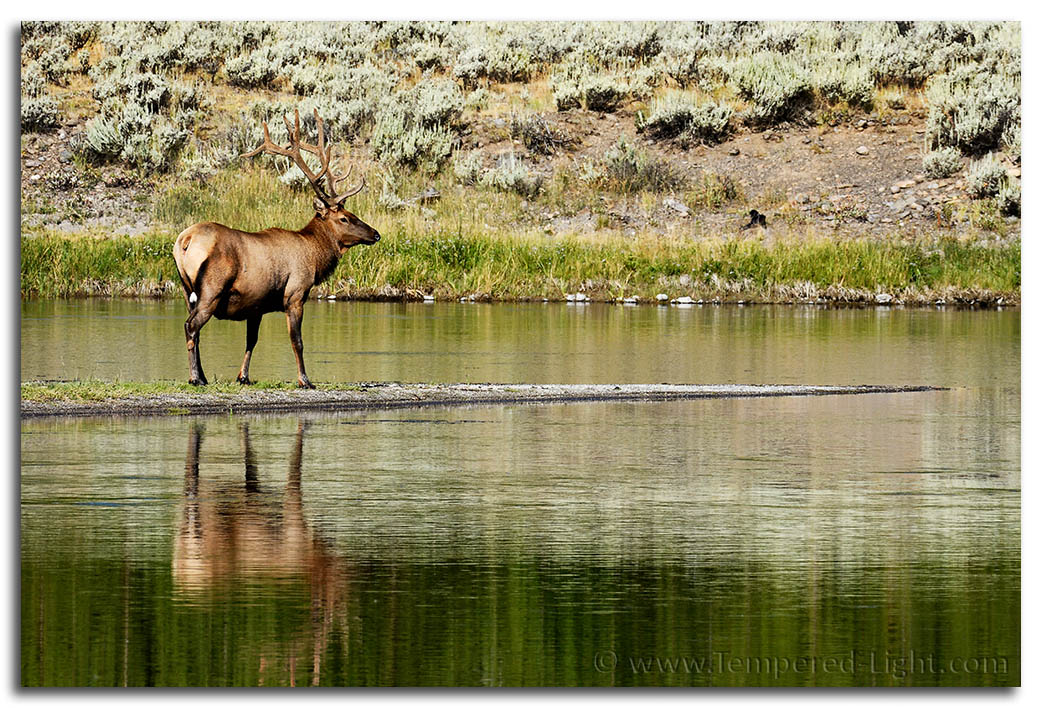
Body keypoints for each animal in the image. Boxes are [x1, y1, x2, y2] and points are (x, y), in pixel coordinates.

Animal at [172, 109, 381, 387]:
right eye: (345, 218)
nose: (375, 234)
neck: (315, 256)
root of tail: (184, 241)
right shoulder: (295, 293)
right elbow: (297, 341)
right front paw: (305, 380)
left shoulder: (256, 305)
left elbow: (252, 340)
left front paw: (243, 376)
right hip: (211, 289)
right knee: (191, 326)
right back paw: (196, 378)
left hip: (187, 290)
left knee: (194, 329)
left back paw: (202, 375)